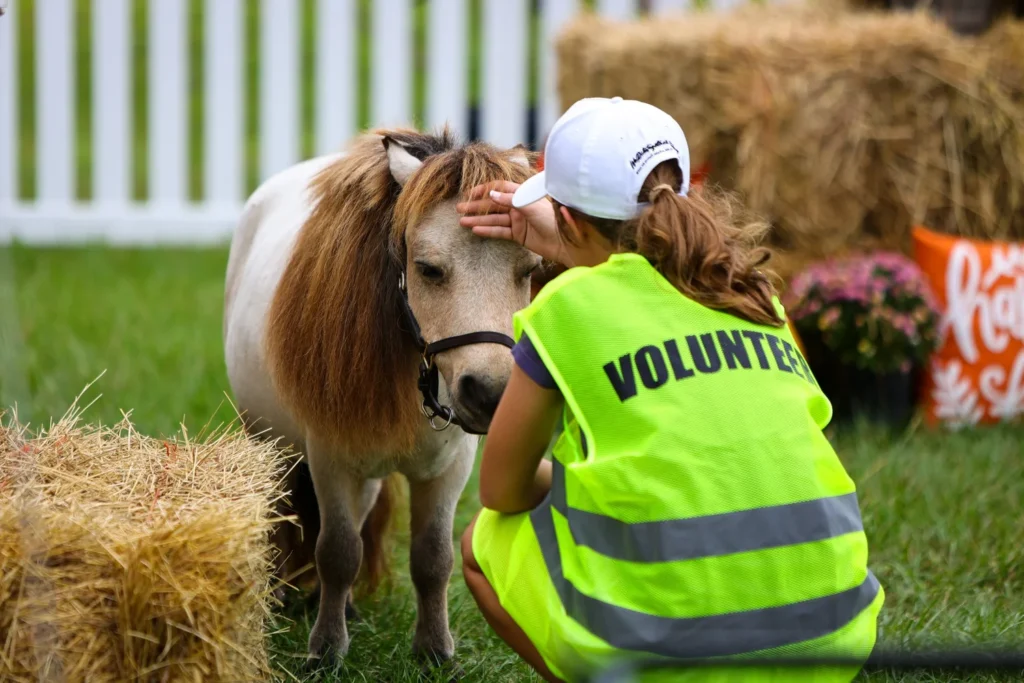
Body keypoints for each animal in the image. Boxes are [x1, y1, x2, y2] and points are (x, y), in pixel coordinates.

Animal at [222, 125, 540, 667]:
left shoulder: (449, 469)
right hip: (273, 444)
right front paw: (326, 651)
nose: (491, 392)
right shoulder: (330, 459)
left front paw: (433, 649)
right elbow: (337, 551)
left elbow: (432, 558)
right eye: (428, 268)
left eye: (529, 269)